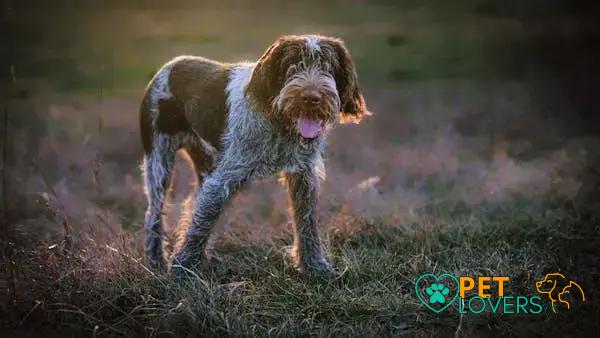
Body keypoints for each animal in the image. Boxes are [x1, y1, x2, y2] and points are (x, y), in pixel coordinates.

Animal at [141, 34, 370, 278]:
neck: (280, 123)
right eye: (291, 65)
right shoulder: (222, 180)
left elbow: (306, 222)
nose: (311, 98)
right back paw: (156, 260)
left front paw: (314, 267)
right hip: (159, 161)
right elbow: (201, 223)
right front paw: (181, 270)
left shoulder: (303, 174)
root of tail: (170, 64)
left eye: (328, 67)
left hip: (205, 162)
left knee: (192, 204)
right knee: (154, 213)